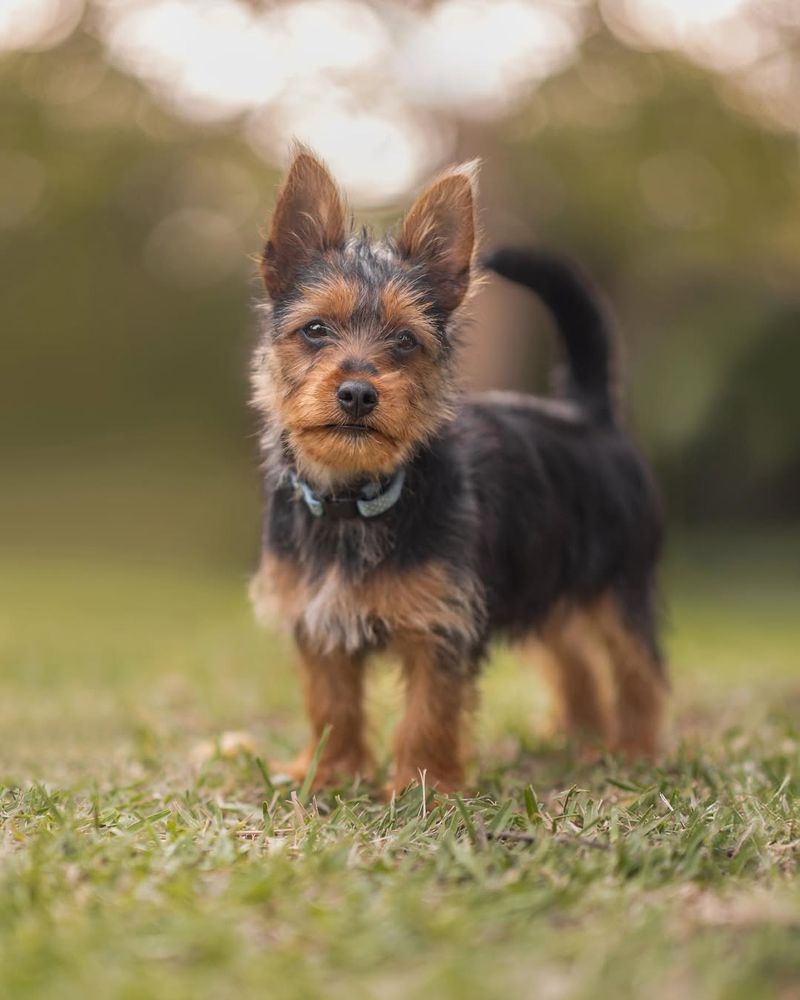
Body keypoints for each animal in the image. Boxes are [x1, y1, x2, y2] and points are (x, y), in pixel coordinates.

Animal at [252, 145, 668, 792]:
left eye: (405, 340)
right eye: (315, 330)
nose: (358, 393)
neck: (357, 498)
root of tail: (586, 411)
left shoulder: (441, 624)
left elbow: (430, 709)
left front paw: (424, 786)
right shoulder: (319, 619)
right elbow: (331, 700)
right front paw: (330, 773)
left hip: (619, 583)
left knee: (638, 669)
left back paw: (636, 751)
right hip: (547, 579)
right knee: (572, 655)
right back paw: (577, 735)